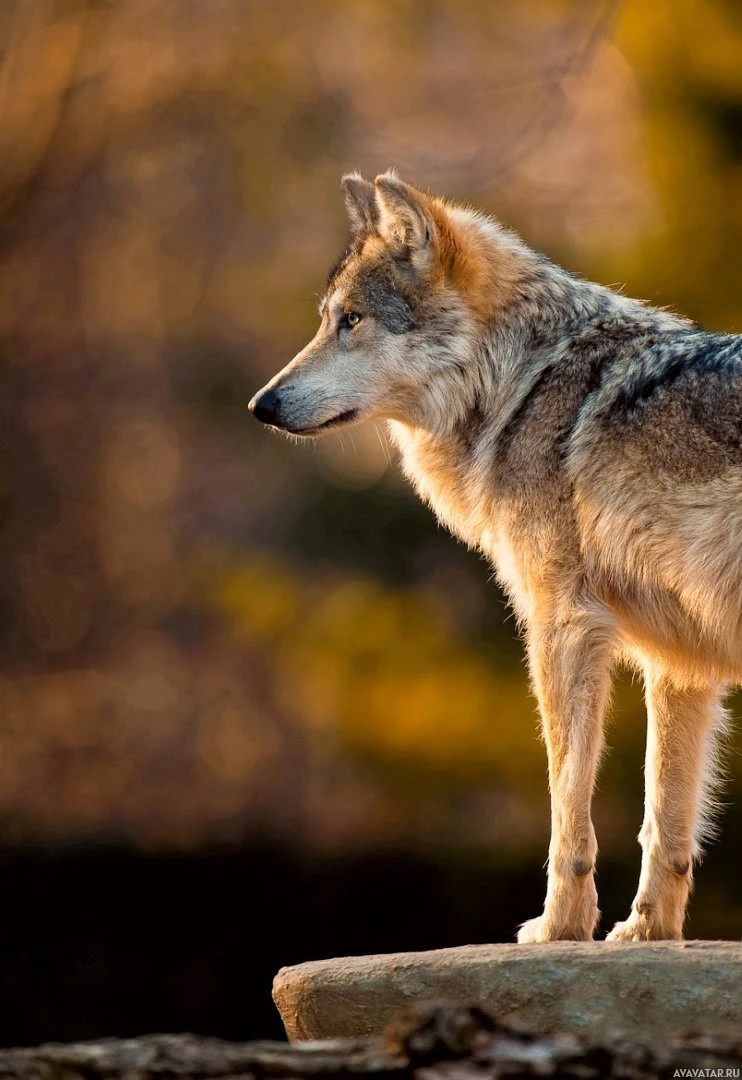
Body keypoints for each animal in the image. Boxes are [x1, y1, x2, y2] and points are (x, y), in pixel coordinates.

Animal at [250, 172, 742, 941]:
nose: (260, 404)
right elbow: (664, 821)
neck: (523, 381)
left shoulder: (561, 627)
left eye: (351, 321)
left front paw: (559, 928)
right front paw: (645, 935)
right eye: (327, 320)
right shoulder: (679, 662)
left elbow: (568, 807)